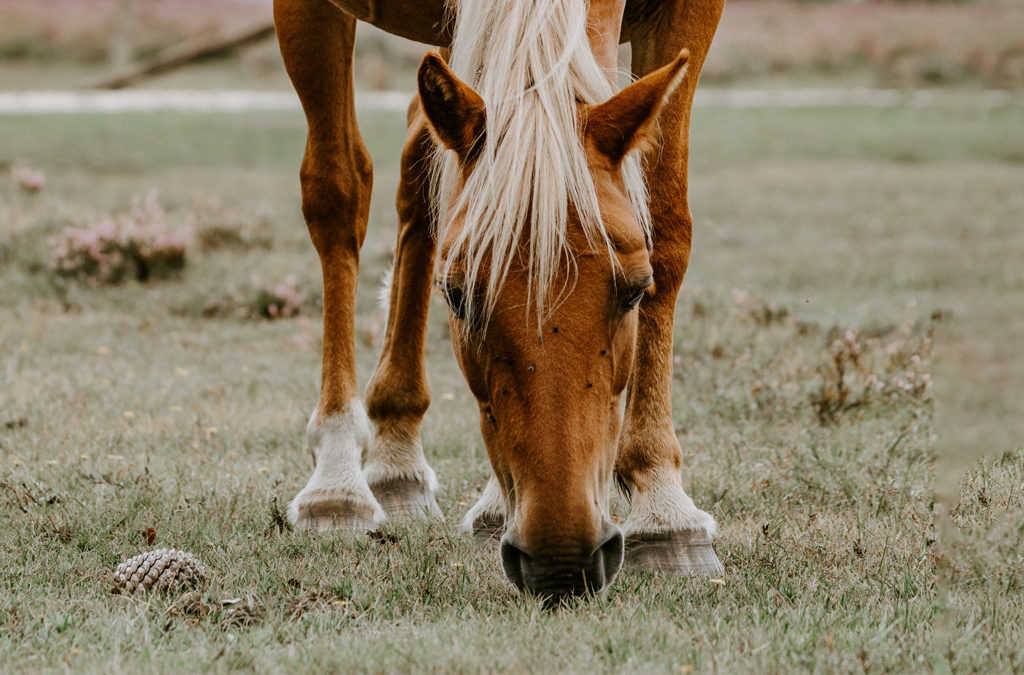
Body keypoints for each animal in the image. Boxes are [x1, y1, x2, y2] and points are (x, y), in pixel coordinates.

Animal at [276, 0, 729, 598]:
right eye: (456, 296)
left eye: (637, 289)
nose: (563, 559)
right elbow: (337, 192)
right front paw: (335, 480)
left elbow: (665, 215)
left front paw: (664, 510)